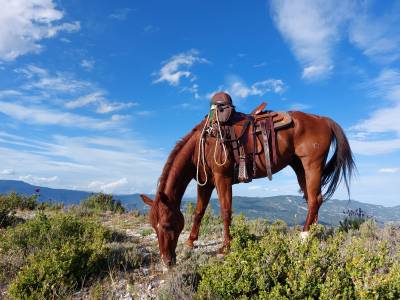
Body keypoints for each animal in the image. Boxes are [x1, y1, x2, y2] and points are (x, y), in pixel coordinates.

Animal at [141, 109, 356, 266]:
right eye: (153, 226)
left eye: (167, 225)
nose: (167, 261)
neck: (203, 144)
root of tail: (323, 119)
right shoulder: (205, 183)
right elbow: (199, 212)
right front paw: (190, 242)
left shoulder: (222, 179)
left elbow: (225, 211)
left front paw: (225, 247)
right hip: (299, 167)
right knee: (313, 199)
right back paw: (313, 232)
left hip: (312, 165)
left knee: (314, 199)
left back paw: (305, 235)